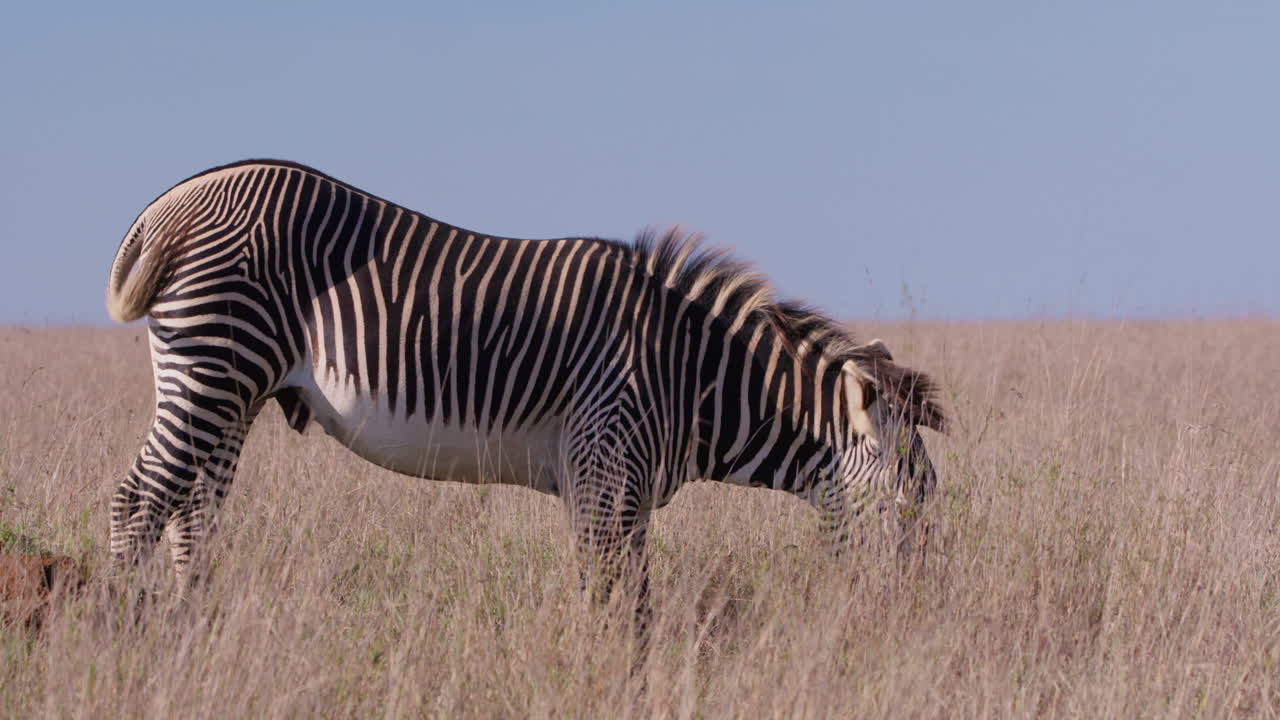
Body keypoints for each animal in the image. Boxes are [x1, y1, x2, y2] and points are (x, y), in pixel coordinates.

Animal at [105, 159, 946, 615]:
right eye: (907, 501)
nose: (914, 613)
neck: (689, 371)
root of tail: (172, 202)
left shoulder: (617, 487)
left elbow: (627, 595)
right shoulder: (606, 464)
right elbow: (615, 602)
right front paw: (607, 678)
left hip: (233, 389)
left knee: (193, 513)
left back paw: (197, 629)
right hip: (213, 364)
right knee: (140, 500)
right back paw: (124, 633)